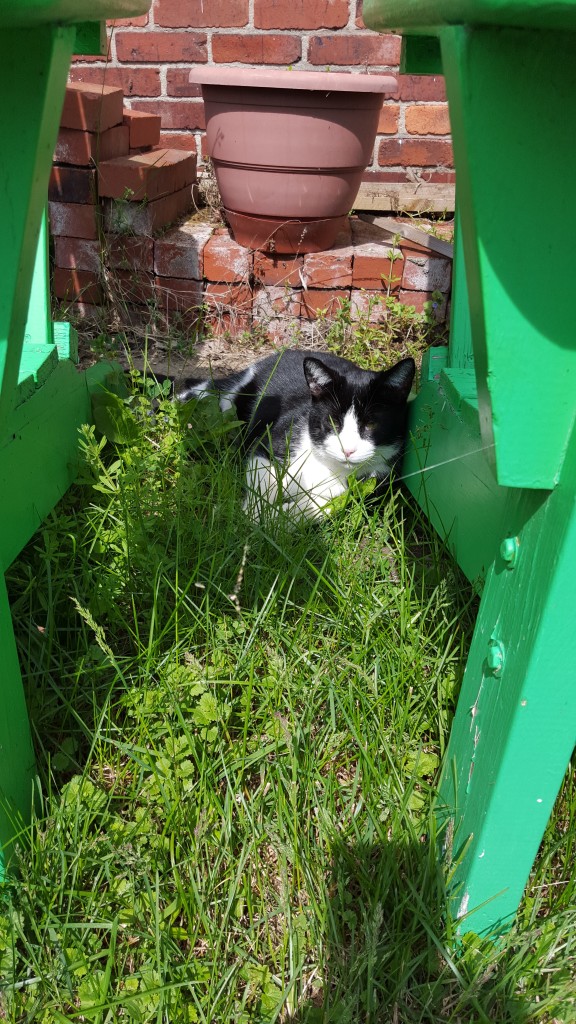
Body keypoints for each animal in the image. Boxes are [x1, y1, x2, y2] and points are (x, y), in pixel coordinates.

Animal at [178, 350, 412, 520]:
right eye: (332, 422)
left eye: (371, 424)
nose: (348, 450)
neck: (327, 466)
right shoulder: (273, 441)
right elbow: (261, 483)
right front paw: (251, 518)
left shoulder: (373, 484)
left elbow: (319, 507)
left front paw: (274, 520)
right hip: (230, 400)